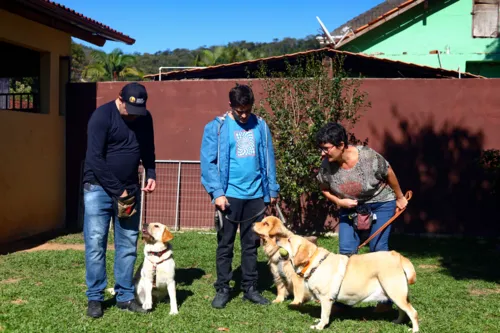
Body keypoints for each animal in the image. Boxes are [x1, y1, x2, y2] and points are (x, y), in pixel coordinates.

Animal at [280, 232, 420, 330]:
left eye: (289, 240)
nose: (277, 239)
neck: (314, 263)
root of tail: (397, 255)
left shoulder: (325, 299)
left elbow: (324, 315)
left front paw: (319, 326)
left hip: (395, 293)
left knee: (413, 312)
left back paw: (414, 329)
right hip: (395, 295)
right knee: (403, 311)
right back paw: (397, 322)